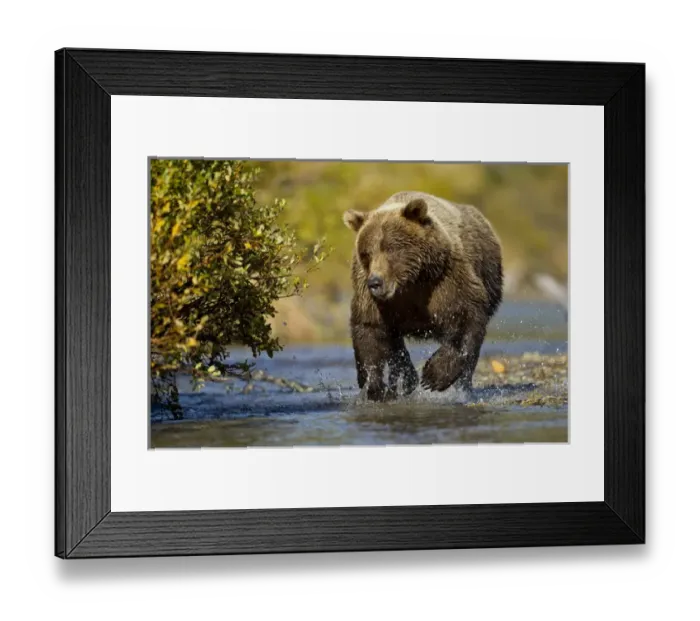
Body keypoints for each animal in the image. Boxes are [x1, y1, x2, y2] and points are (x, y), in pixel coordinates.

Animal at [342, 191, 503, 402]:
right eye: (366, 253)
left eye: (391, 248)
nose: (375, 282)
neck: (411, 282)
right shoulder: (371, 295)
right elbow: (369, 329)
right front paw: (374, 385)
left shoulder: (447, 279)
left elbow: (465, 315)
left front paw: (435, 374)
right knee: (395, 346)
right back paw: (405, 379)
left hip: (489, 274)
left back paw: (462, 386)